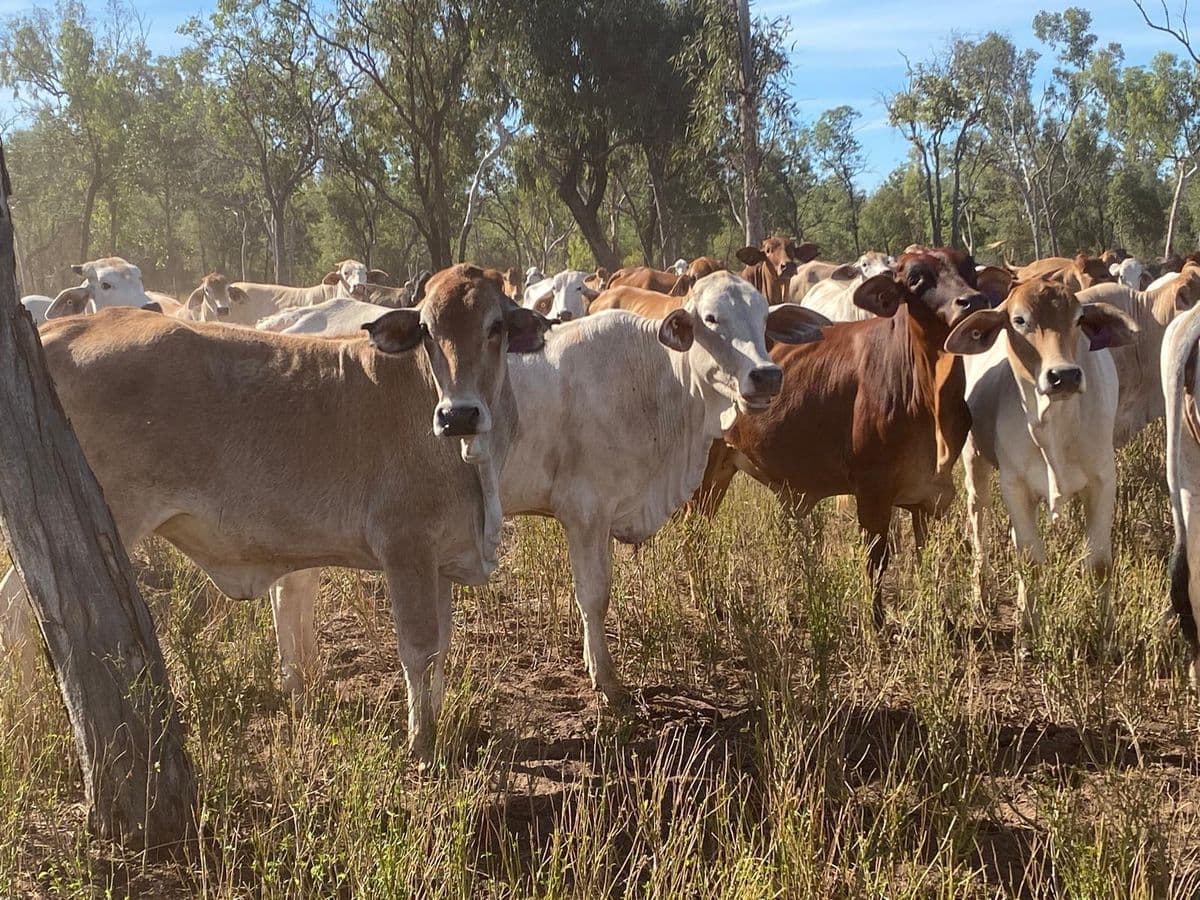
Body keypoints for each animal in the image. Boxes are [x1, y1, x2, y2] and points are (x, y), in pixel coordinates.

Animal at [0, 265, 551, 758]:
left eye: (496, 328)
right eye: (428, 332)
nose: (459, 414)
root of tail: (59, 331)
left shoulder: (437, 560)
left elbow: (440, 649)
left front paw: (436, 725)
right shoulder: (405, 548)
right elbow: (418, 649)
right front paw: (422, 743)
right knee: (24, 608)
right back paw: (29, 711)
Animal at [247, 272, 827, 704]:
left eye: (765, 319)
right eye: (711, 319)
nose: (765, 376)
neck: (657, 379)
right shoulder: (585, 511)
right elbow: (594, 595)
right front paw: (607, 682)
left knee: (293, 588)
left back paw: (307, 676)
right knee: (289, 590)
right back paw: (297, 683)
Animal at [697, 248, 990, 625]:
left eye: (969, 268)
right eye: (915, 278)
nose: (973, 301)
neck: (929, 392)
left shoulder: (930, 496)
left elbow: (928, 559)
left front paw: (942, 620)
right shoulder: (872, 491)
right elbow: (877, 560)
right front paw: (877, 621)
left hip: (722, 469)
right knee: (691, 534)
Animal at [948, 278, 1137, 645]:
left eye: (1079, 319)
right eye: (1020, 320)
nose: (1064, 375)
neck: (1055, 426)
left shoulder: (1103, 480)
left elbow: (1099, 562)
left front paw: (1106, 632)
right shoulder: (1014, 485)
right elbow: (1030, 559)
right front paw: (1028, 629)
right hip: (974, 464)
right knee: (980, 524)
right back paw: (982, 593)